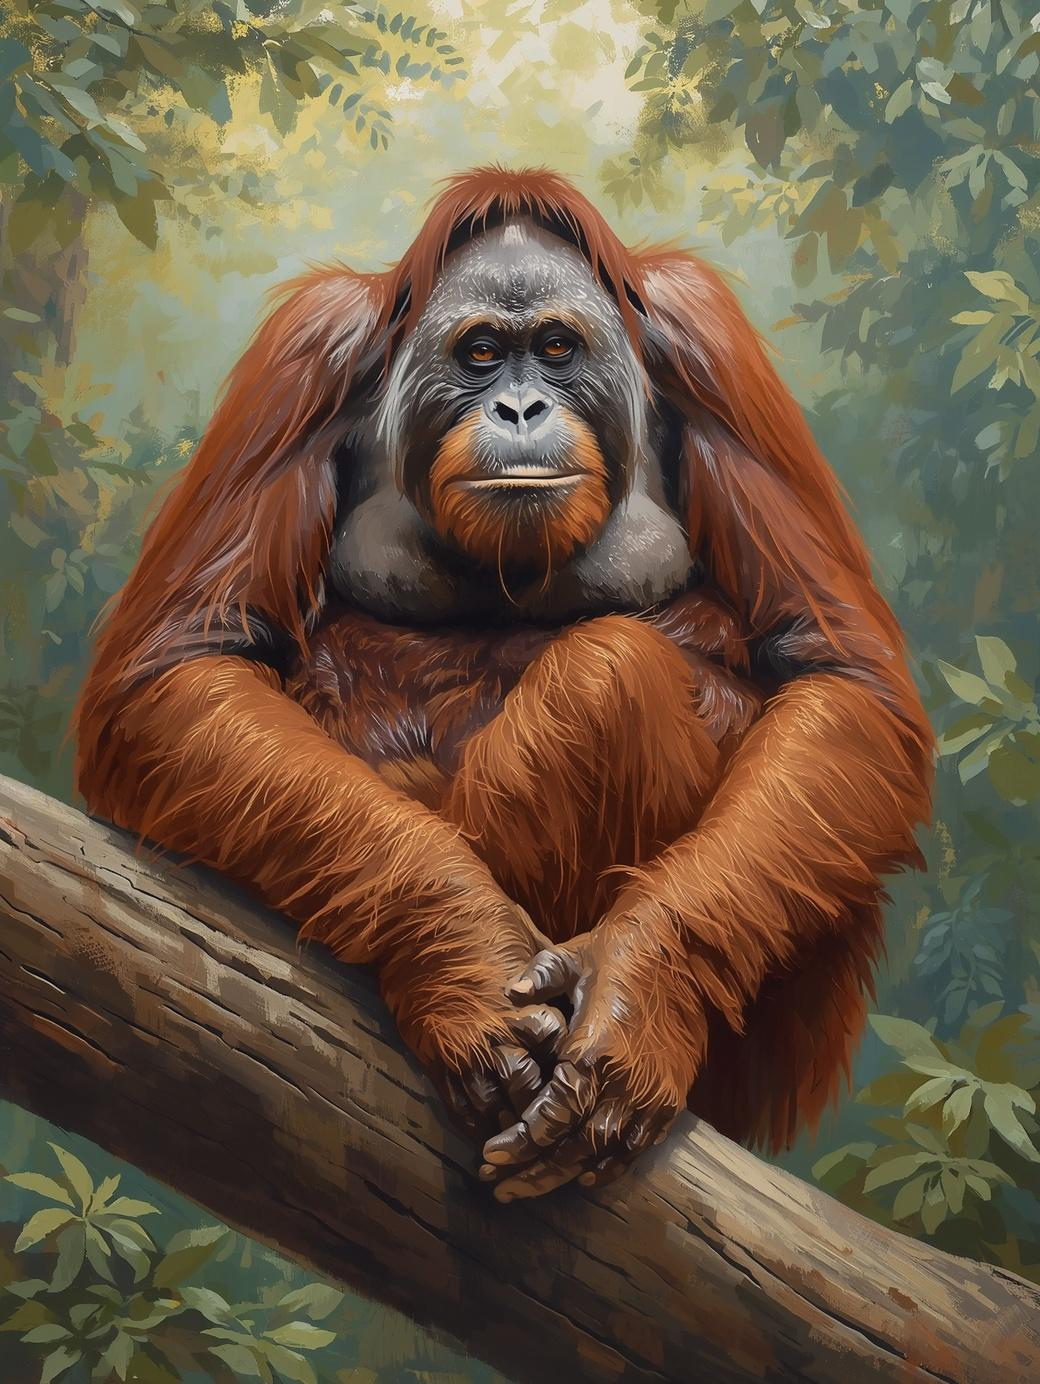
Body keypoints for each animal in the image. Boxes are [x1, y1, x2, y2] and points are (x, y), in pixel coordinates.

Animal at [76, 168, 932, 1202]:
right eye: (482, 352)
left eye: (557, 349)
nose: (520, 410)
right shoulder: (307, 355)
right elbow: (181, 659)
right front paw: (466, 959)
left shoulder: (708, 341)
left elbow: (837, 670)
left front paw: (638, 997)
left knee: (609, 674)